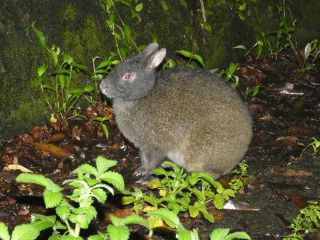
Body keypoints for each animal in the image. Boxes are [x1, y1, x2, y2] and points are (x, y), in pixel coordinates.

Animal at [100, 42, 252, 179]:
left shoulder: (158, 147)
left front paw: (146, 178)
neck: (144, 95)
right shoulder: (143, 147)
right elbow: (143, 159)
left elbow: (153, 163)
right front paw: (141, 170)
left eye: (128, 76)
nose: (102, 86)